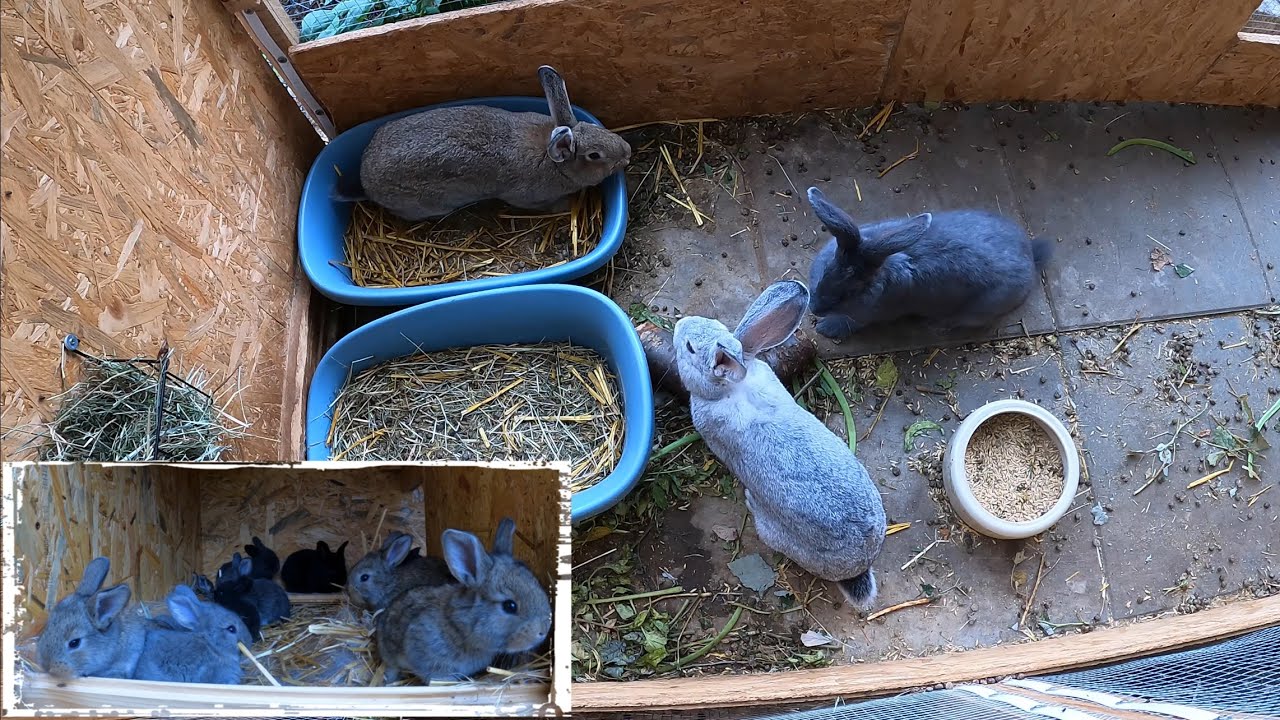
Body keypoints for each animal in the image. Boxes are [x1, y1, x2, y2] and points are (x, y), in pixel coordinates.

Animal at [338, 65, 631, 222]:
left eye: (595, 128)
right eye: (595, 155)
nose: (627, 153)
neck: (556, 162)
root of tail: (366, 182)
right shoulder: (526, 197)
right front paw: (564, 206)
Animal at [804, 187, 1052, 340]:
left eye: (851, 291)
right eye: (826, 271)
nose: (814, 308)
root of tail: (1030, 257)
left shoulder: (867, 315)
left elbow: (849, 321)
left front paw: (826, 329)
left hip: (979, 309)